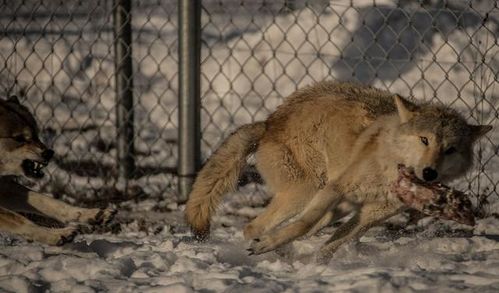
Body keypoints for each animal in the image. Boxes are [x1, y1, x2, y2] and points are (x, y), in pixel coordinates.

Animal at [0, 96, 114, 244]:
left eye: (36, 134)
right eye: (18, 138)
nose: (49, 153)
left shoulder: (6, 188)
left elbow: (51, 202)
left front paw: (92, 214)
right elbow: (19, 219)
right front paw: (55, 235)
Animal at [187, 81, 492, 262]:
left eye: (450, 149)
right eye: (425, 140)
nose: (429, 173)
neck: (388, 172)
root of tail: (269, 123)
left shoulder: (371, 214)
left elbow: (334, 243)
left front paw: (317, 267)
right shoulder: (338, 189)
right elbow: (303, 226)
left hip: (332, 205)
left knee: (298, 227)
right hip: (311, 191)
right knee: (255, 226)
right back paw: (268, 249)